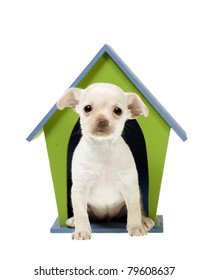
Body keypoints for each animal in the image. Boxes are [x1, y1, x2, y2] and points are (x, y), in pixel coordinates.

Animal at [57, 83, 154, 241]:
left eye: (118, 111)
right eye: (87, 108)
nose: (102, 120)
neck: (102, 148)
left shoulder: (130, 187)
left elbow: (134, 210)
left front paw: (136, 227)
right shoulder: (80, 189)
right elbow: (81, 213)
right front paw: (82, 230)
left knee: (139, 209)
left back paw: (144, 220)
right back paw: (73, 220)